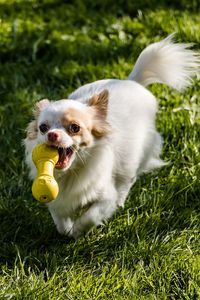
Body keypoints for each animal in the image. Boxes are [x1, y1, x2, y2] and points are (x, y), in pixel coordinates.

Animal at [24, 35, 199, 238]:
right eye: (43, 128)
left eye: (75, 128)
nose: (52, 134)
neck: (71, 172)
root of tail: (132, 81)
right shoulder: (57, 200)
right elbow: (60, 220)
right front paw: (67, 230)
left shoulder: (105, 197)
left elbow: (91, 216)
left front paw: (77, 231)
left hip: (135, 158)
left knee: (127, 180)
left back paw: (121, 201)